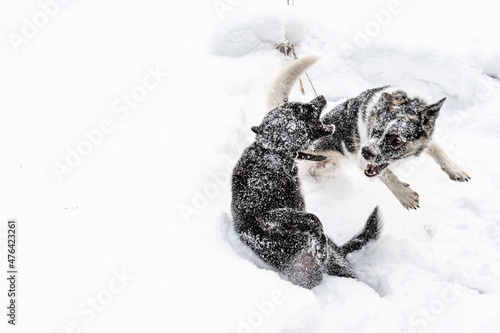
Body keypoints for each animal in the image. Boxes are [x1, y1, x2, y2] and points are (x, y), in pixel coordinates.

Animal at [232, 57, 380, 288]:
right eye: (299, 110)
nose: (321, 97)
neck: (273, 155)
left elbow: (310, 220)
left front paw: (318, 244)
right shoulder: (269, 215)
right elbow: (312, 219)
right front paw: (318, 246)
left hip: (339, 266)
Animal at [268, 57, 470, 208]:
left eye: (396, 140)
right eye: (375, 130)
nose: (365, 151)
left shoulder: (427, 139)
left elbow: (438, 149)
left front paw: (455, 169)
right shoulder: (362, 161)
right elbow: (387, 175)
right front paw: (404, 194)